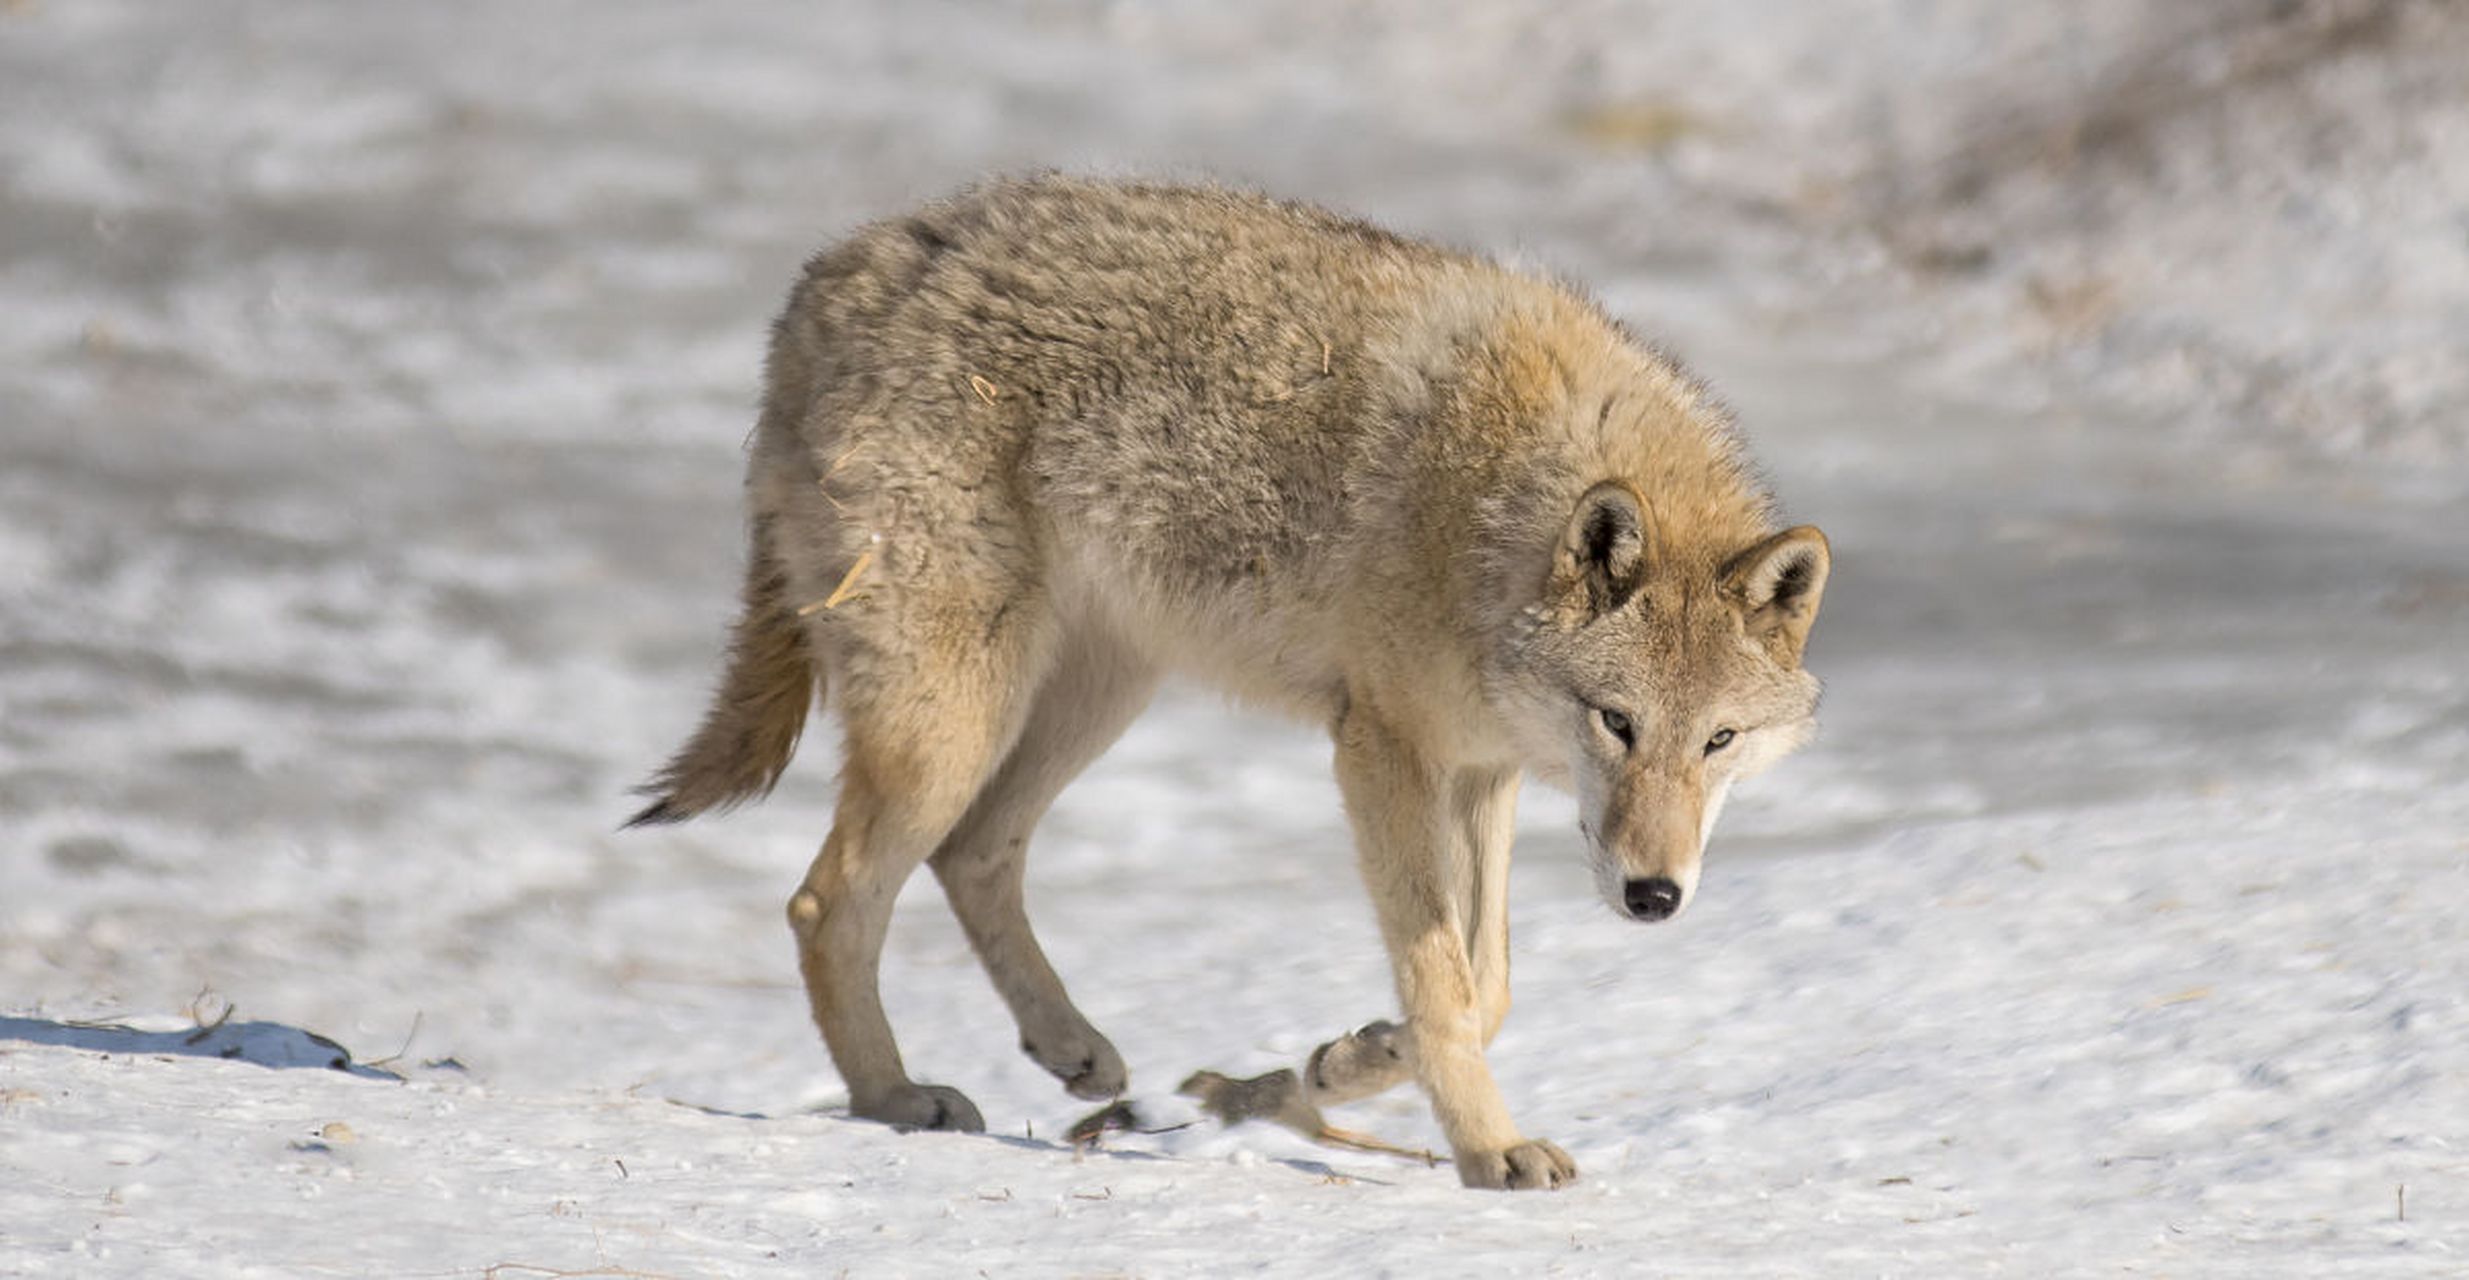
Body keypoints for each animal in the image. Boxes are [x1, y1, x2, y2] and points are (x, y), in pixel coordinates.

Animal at [637, 172, 1836, 1195]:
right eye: (1617, 721)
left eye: (1718, 741)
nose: (1654, 897)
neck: (1495, 501)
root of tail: (826, 281)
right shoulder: (1380, 751)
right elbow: (1445, 983)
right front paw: (1485, 1150)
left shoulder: (1479, 770)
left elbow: (1483, 986)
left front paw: (1345, 1060)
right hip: (954, 717)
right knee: (827, 897)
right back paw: (896, 1097)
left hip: (1096, 694)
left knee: (971, 851)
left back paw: (1071, 1051)